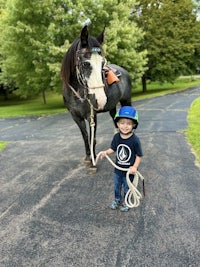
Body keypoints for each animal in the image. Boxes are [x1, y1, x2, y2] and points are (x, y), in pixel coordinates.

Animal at [61, 25, 133, 168]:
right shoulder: (76, 117)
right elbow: (85, 137)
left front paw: (93, 160)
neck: (76, 94)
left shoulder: (91, 115)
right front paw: (88, 157)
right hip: (112, 106)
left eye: (102, 63)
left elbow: (91, 138)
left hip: (126, 101)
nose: (100, 99)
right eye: (85, 64)